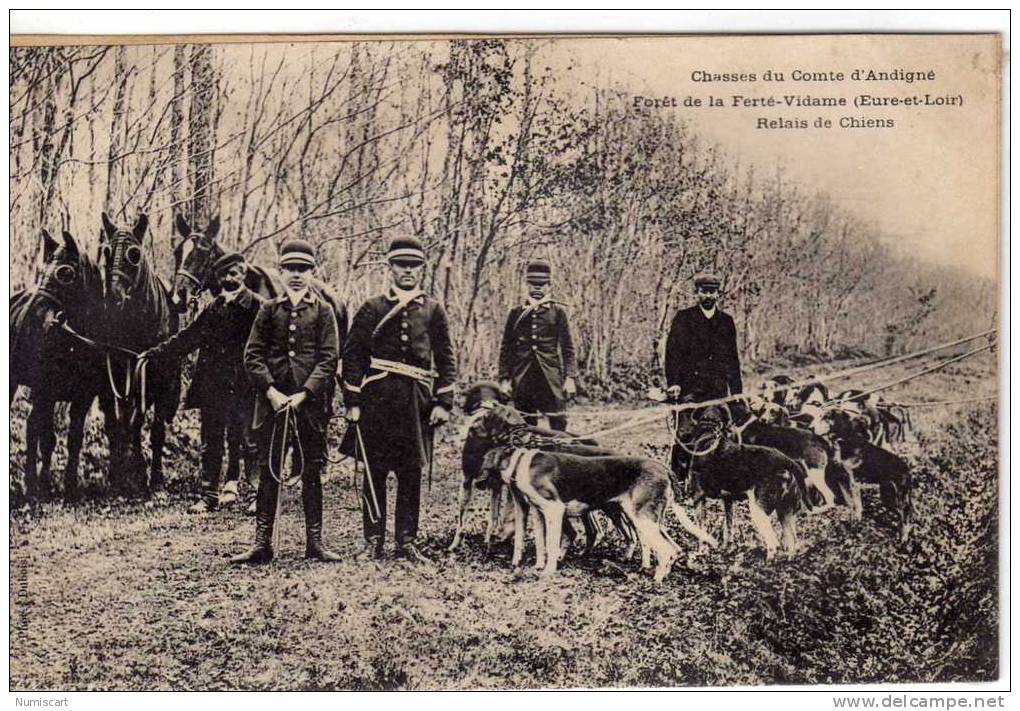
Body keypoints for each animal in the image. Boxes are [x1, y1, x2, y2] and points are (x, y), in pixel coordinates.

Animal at [9, 230, 105, 501]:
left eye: (65, 273)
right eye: (40, 271)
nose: (30, 315)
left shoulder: (83, 397)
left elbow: (74, 439)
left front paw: (70, 487)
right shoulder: (46, 392)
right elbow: (48, 438)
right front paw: (43, 485)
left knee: (31, 425)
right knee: (33, 428)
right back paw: (31, 485)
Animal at [100, 212, 182, 493]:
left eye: (134, 254)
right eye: (106, 252)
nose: (113, 298)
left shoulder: (157, 377)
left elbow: (152, 428)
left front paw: (153, 476)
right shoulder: (117, 370)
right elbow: (118, 423)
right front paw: (123, 473)